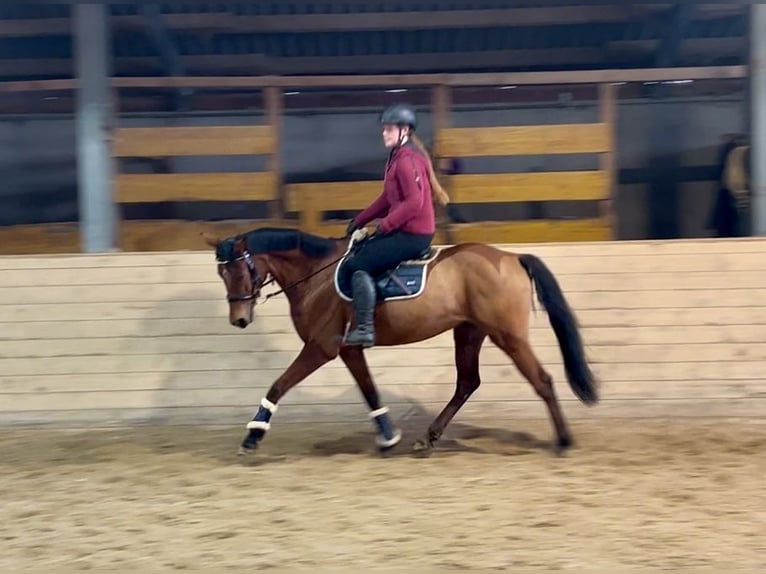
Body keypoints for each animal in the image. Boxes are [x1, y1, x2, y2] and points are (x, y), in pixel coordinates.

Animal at [202, 226, 600, 460]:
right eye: (221, 273)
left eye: (240, 269)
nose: (239, 319)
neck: (315, 275)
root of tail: (511, 257)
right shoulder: (348, 349)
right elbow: (370, 391)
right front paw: (389, 436)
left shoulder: (322, 347)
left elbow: (279, 384)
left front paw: (253, 436)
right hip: (469, 332)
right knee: (467, 383)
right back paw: (428, 438)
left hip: (508, 335)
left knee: (541, 380)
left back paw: (564, 440)